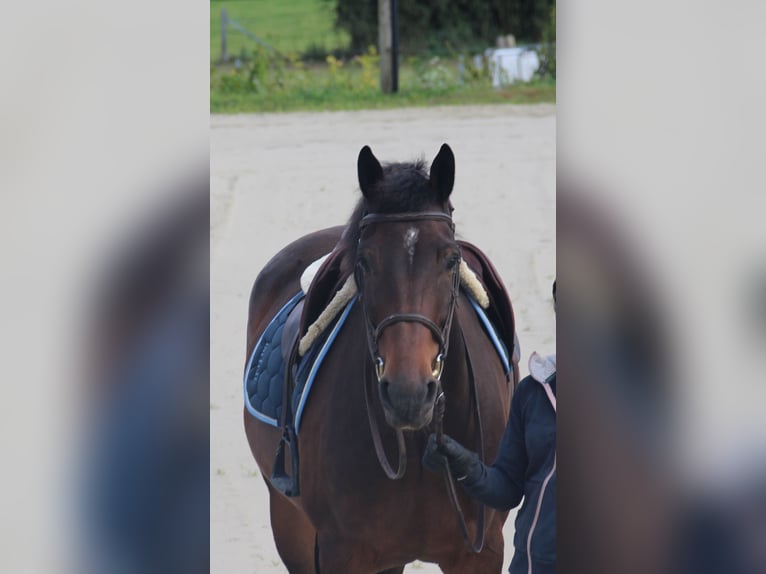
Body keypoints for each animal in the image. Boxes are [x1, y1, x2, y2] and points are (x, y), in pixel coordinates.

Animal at [244, 144, 518, 573]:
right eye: (364, 262)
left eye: (450, 259)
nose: (408, 395)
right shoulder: (340, 552)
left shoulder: (482, 551)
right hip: (289, 522)